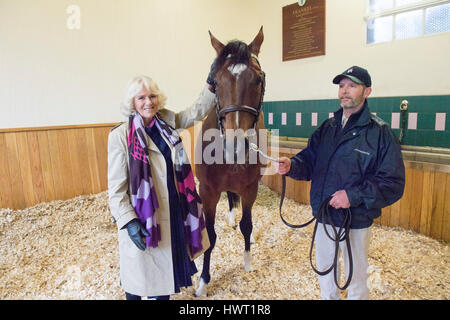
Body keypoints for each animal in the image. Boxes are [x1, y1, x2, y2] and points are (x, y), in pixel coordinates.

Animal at [195, 27, 266, 298]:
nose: (236, 147)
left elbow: (247, 224)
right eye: (215, 83)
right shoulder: (207, 191)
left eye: (258, 80)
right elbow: (209, 236)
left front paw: (247, 262)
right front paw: (203, 282)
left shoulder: (250, 188)